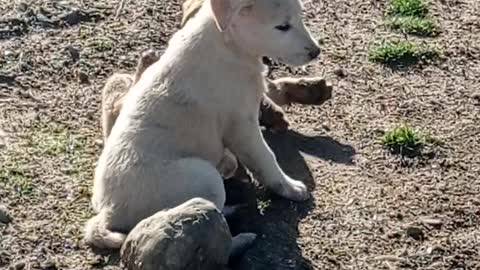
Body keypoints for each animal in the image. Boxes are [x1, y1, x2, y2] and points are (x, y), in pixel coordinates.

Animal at [86, 0, 318, 250]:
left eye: (300, 16)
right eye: (282, 27)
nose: (316, 52)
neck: (228, 45)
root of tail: (108, 212)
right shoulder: (242, 125)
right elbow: (266, 159)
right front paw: (291, 188)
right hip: (204, 178)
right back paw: (240, 236)